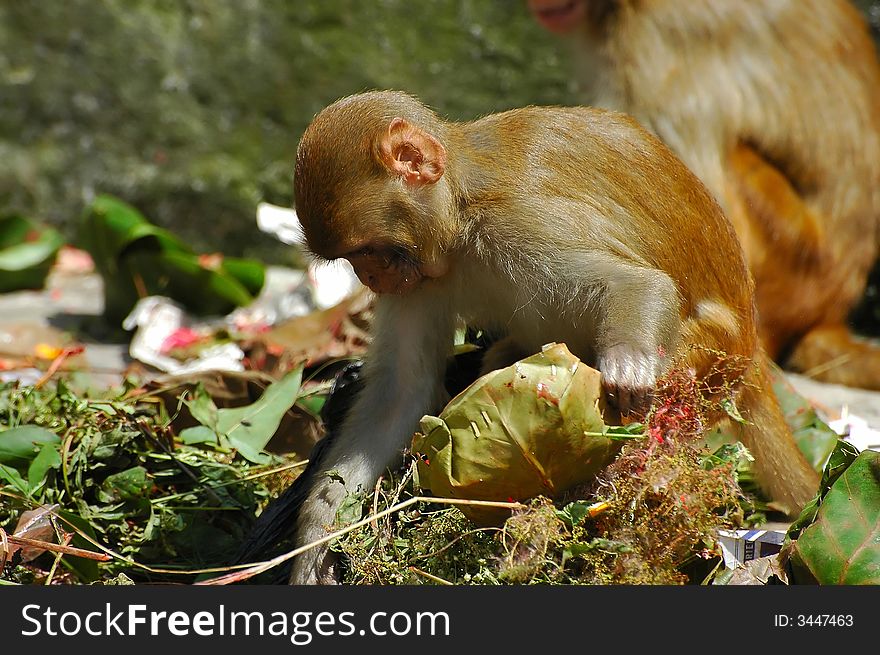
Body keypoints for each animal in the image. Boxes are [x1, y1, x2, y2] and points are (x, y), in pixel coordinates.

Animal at [288, 89, 820, 588]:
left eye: (368, 251)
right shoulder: (419, 280)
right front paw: (318, 533)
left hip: (713, 360)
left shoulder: (522, 223)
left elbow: (638, 286)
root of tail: (751, 351)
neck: (461, 217)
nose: (368, 278)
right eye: (355, 258)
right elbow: (402, 395)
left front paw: (628, 368)